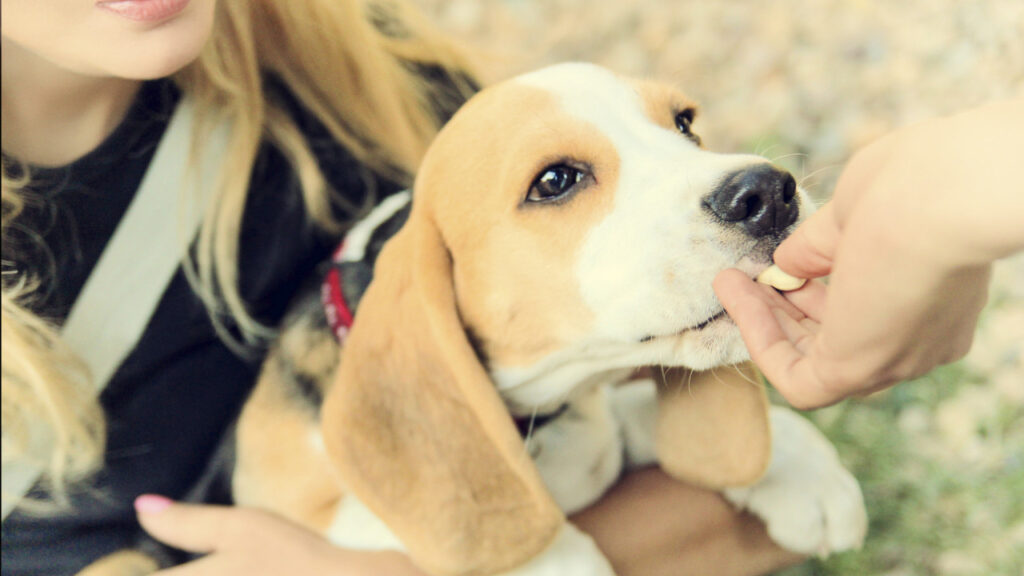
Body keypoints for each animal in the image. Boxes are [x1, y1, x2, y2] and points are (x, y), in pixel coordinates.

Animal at [81, 62, 872, 573]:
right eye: (554, 181)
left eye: (685, 123)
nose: (768, 192)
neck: (542, 419)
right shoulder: (287, 510)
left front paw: (800, 468)